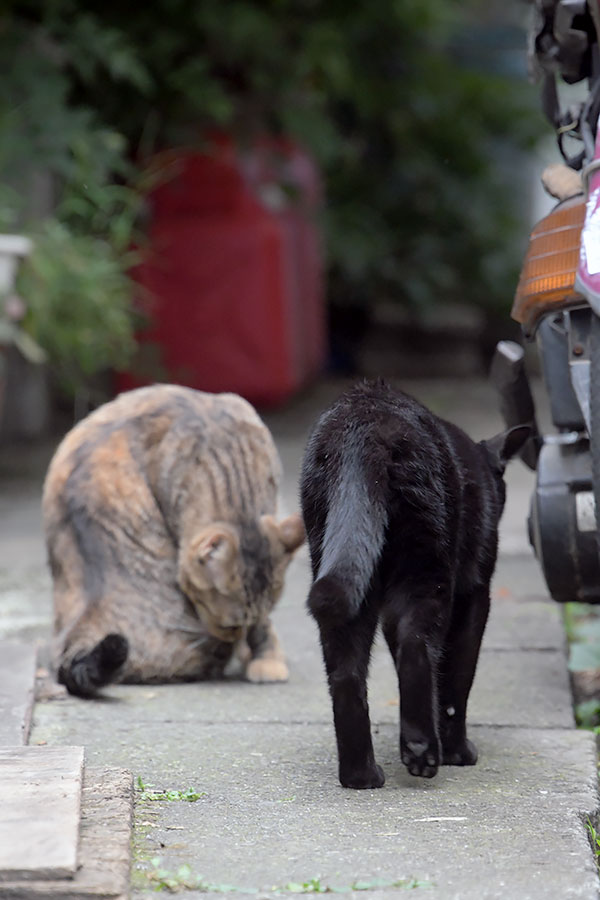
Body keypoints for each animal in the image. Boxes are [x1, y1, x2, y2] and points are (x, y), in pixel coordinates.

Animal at [300, 380, 528, 788]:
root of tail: (362, 428)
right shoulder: (475, 593)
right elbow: (457, 677)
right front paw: (457, 752)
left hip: (342, 570)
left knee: (346, 671)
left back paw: (362, 775)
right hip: (428, 568)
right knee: (415, 647)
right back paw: (424, 753)